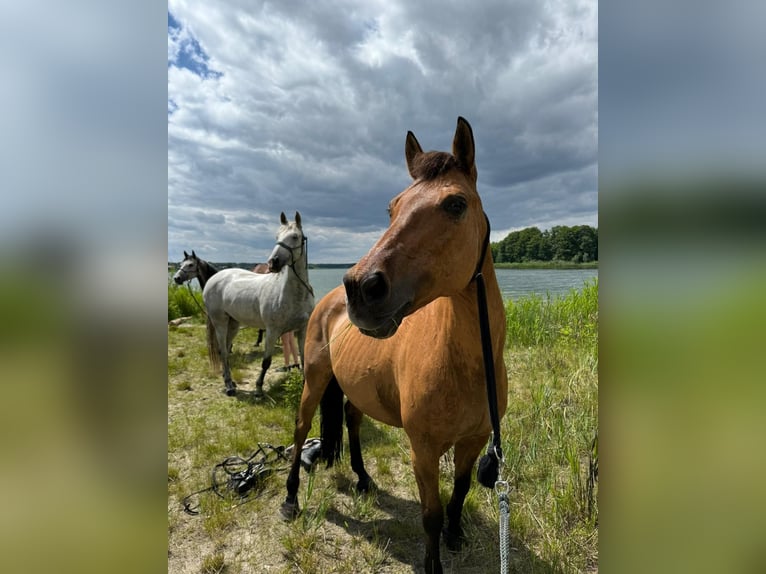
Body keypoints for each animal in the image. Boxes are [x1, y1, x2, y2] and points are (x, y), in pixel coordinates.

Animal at [202, 212, 315, 397]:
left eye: (295, 236)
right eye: (277, 236)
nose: (273, 262)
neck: (292, 293)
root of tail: (214, 278)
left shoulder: (302, 330)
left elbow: (305, 359)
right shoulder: (272, 331)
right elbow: (266, 362)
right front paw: (258, 389)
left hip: (233, 323)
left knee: (224, 349)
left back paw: (230, 381)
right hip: (220, 322)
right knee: (223, 351)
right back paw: (229, 386)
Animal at [280, 118, 508, 574]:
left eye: (455, 204)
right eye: (392, 207)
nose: (361, 288)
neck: (470, 365)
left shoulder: (473, 441)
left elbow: (460, 491)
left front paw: (456, 534)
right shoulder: (423, 450)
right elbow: (430, 514)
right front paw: (434, 562)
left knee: (351, 420)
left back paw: (364, 480)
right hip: (315, 381)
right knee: (300, 430)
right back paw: (291, 499)